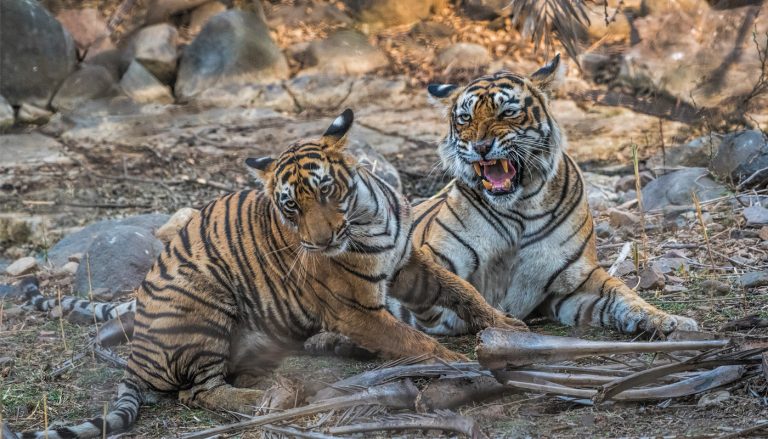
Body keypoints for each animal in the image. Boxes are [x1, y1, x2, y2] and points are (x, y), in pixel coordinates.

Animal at [19, 109, 520, 439]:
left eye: (325, 190)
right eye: (290, 206)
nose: (320, 241)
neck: (368, 220)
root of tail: (138, 354)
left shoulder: (406, 263)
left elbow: (460, 290)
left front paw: (507, 327)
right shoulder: (355, 310)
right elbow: (414, 339)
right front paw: (456, 365)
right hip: (203, 297)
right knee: (197, 392)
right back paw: (266, 399)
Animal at [388, 55, 700, 336]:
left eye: (507, 113)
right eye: (465, 118)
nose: (481, 146)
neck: (519, 209)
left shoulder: (575, 282)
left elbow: (622, 295)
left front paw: (667, 320)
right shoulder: (437, 260)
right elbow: (449, 287)